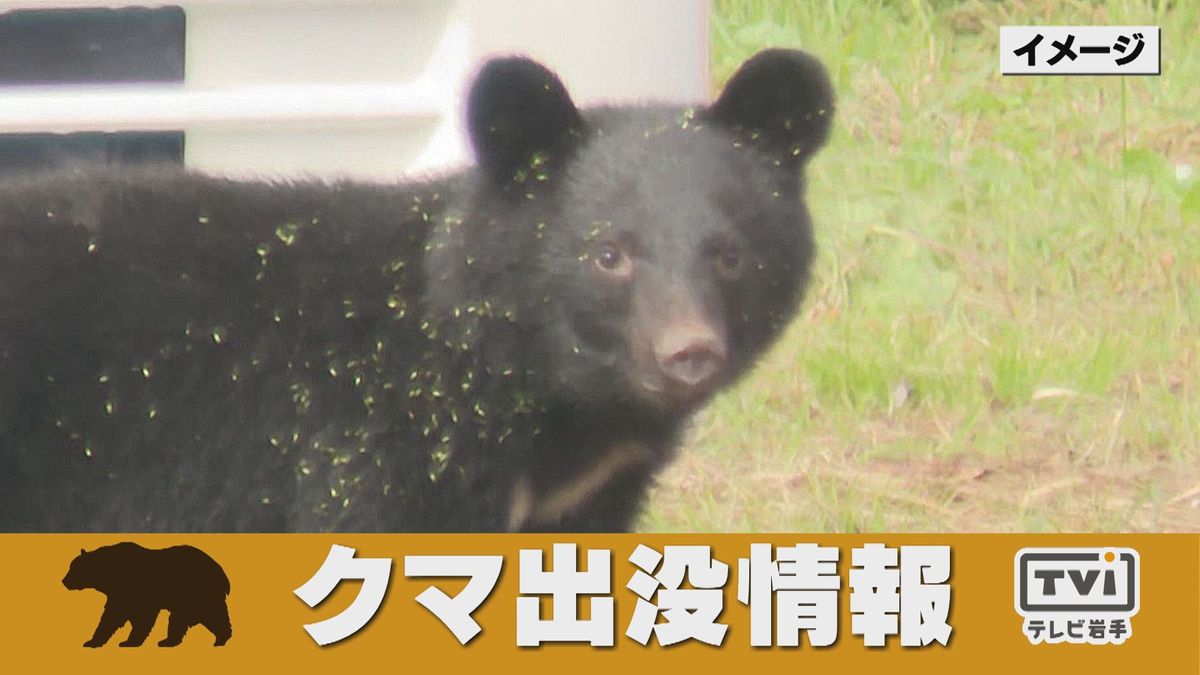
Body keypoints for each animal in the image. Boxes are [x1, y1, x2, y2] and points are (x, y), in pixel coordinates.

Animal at [61, 538, 231, 643]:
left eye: (74, 568)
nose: (64, 581)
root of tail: (220, 571)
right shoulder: (121, 594)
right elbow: (117, 615)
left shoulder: (134, 591)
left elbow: (126, 615)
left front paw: (127, 641)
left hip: (196, 591)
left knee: (203, 614)